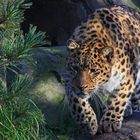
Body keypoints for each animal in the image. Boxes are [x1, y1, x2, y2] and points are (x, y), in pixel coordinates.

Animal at [65, 4, 140, 135]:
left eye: (94, 71)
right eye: (74, 68)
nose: (81, 87)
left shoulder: (129, 77)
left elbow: (119, 99)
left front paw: (110, 122)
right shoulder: (69, 80)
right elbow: (77, 101)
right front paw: (88, 121)